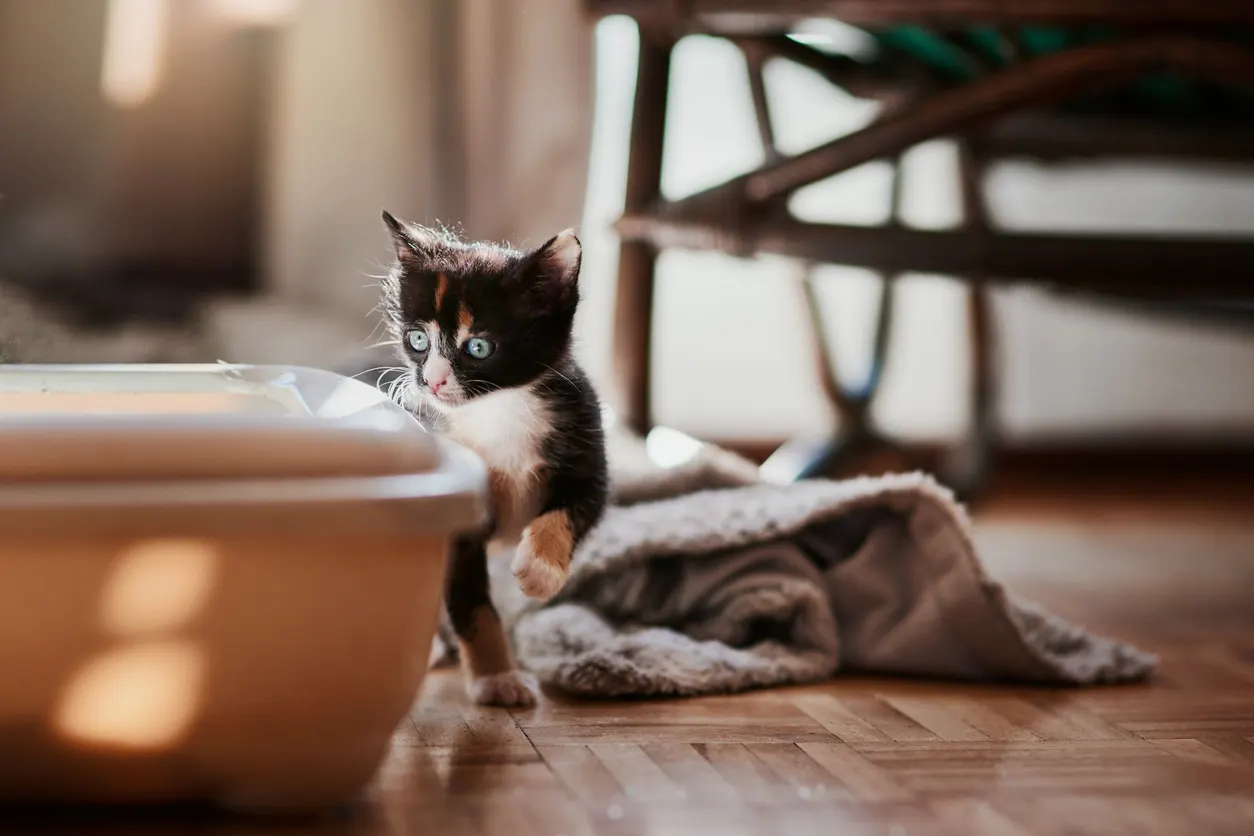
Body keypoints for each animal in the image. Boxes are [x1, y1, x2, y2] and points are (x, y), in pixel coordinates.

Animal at [378, 210, 609, 706]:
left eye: (478, 347)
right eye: (417, 339)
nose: (432, 382)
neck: (500, 409)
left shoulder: (587, 447)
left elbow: (572, 509)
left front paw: (541, 569)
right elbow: (471, 602)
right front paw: (497, 678)